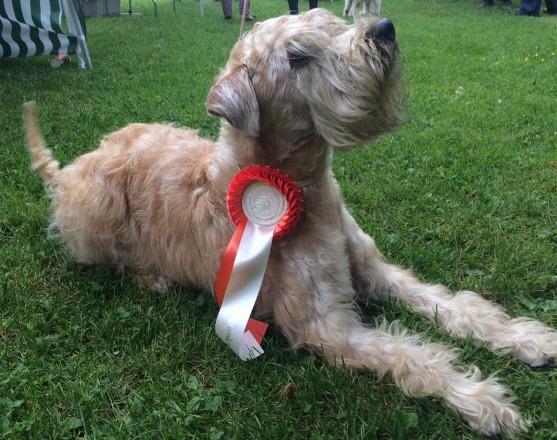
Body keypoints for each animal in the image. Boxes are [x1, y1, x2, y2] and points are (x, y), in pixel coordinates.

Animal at [25, 8, 556, 438]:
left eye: (333, 23)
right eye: (298, 56)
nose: (384, 28)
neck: (306, 190)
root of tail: (68, 172)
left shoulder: (379, 273)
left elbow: (459, 307)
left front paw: (531, 340)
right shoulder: (328, 327)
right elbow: (414, 354)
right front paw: (487, 402)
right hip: (96, 203)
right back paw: (150, 276)